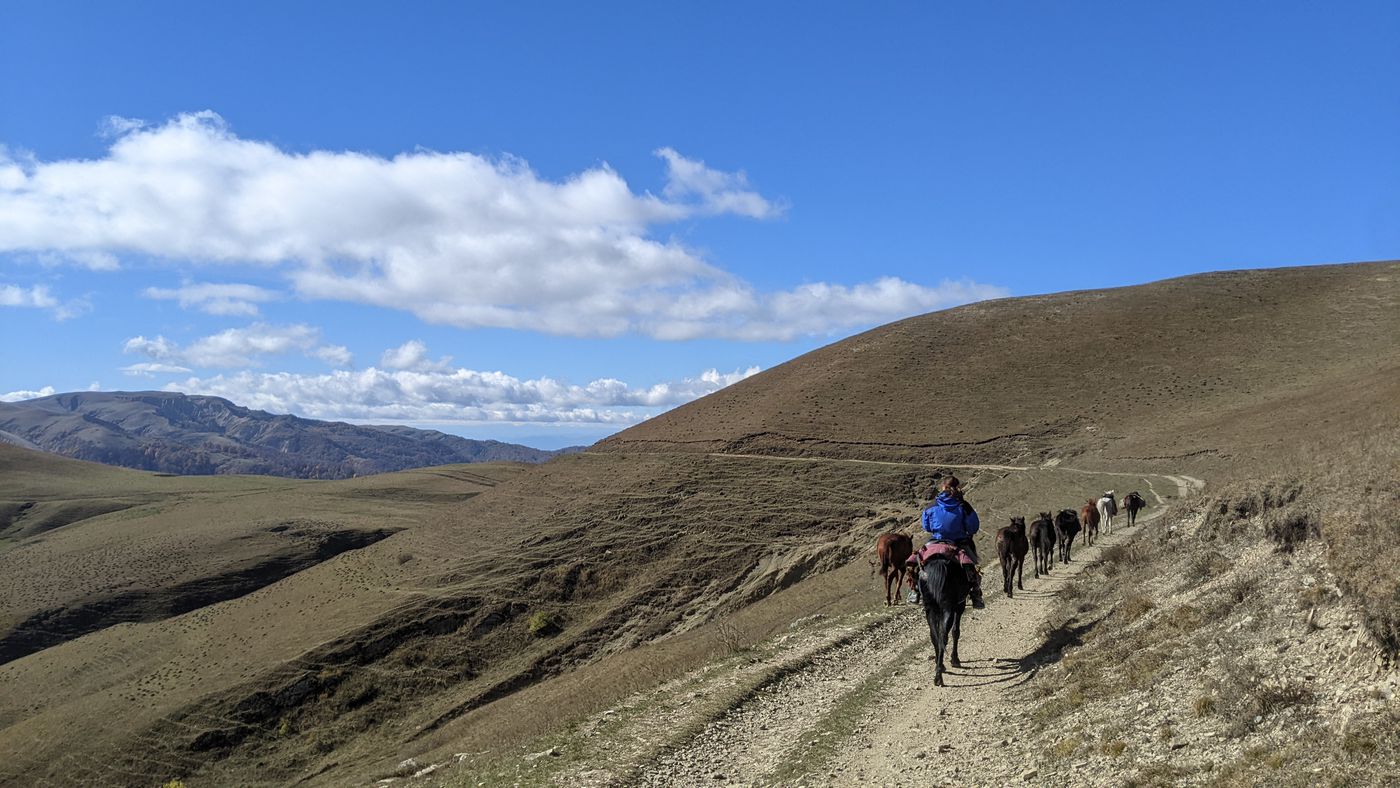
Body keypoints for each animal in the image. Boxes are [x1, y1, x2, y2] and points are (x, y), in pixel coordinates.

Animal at [912, 545, 968, 688]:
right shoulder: (960, 605)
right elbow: (956, 631)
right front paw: (955, 659)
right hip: (949, 608)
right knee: (944, 636)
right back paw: (939, 675)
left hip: (930, 609)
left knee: (935, 637)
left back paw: (939, 669)